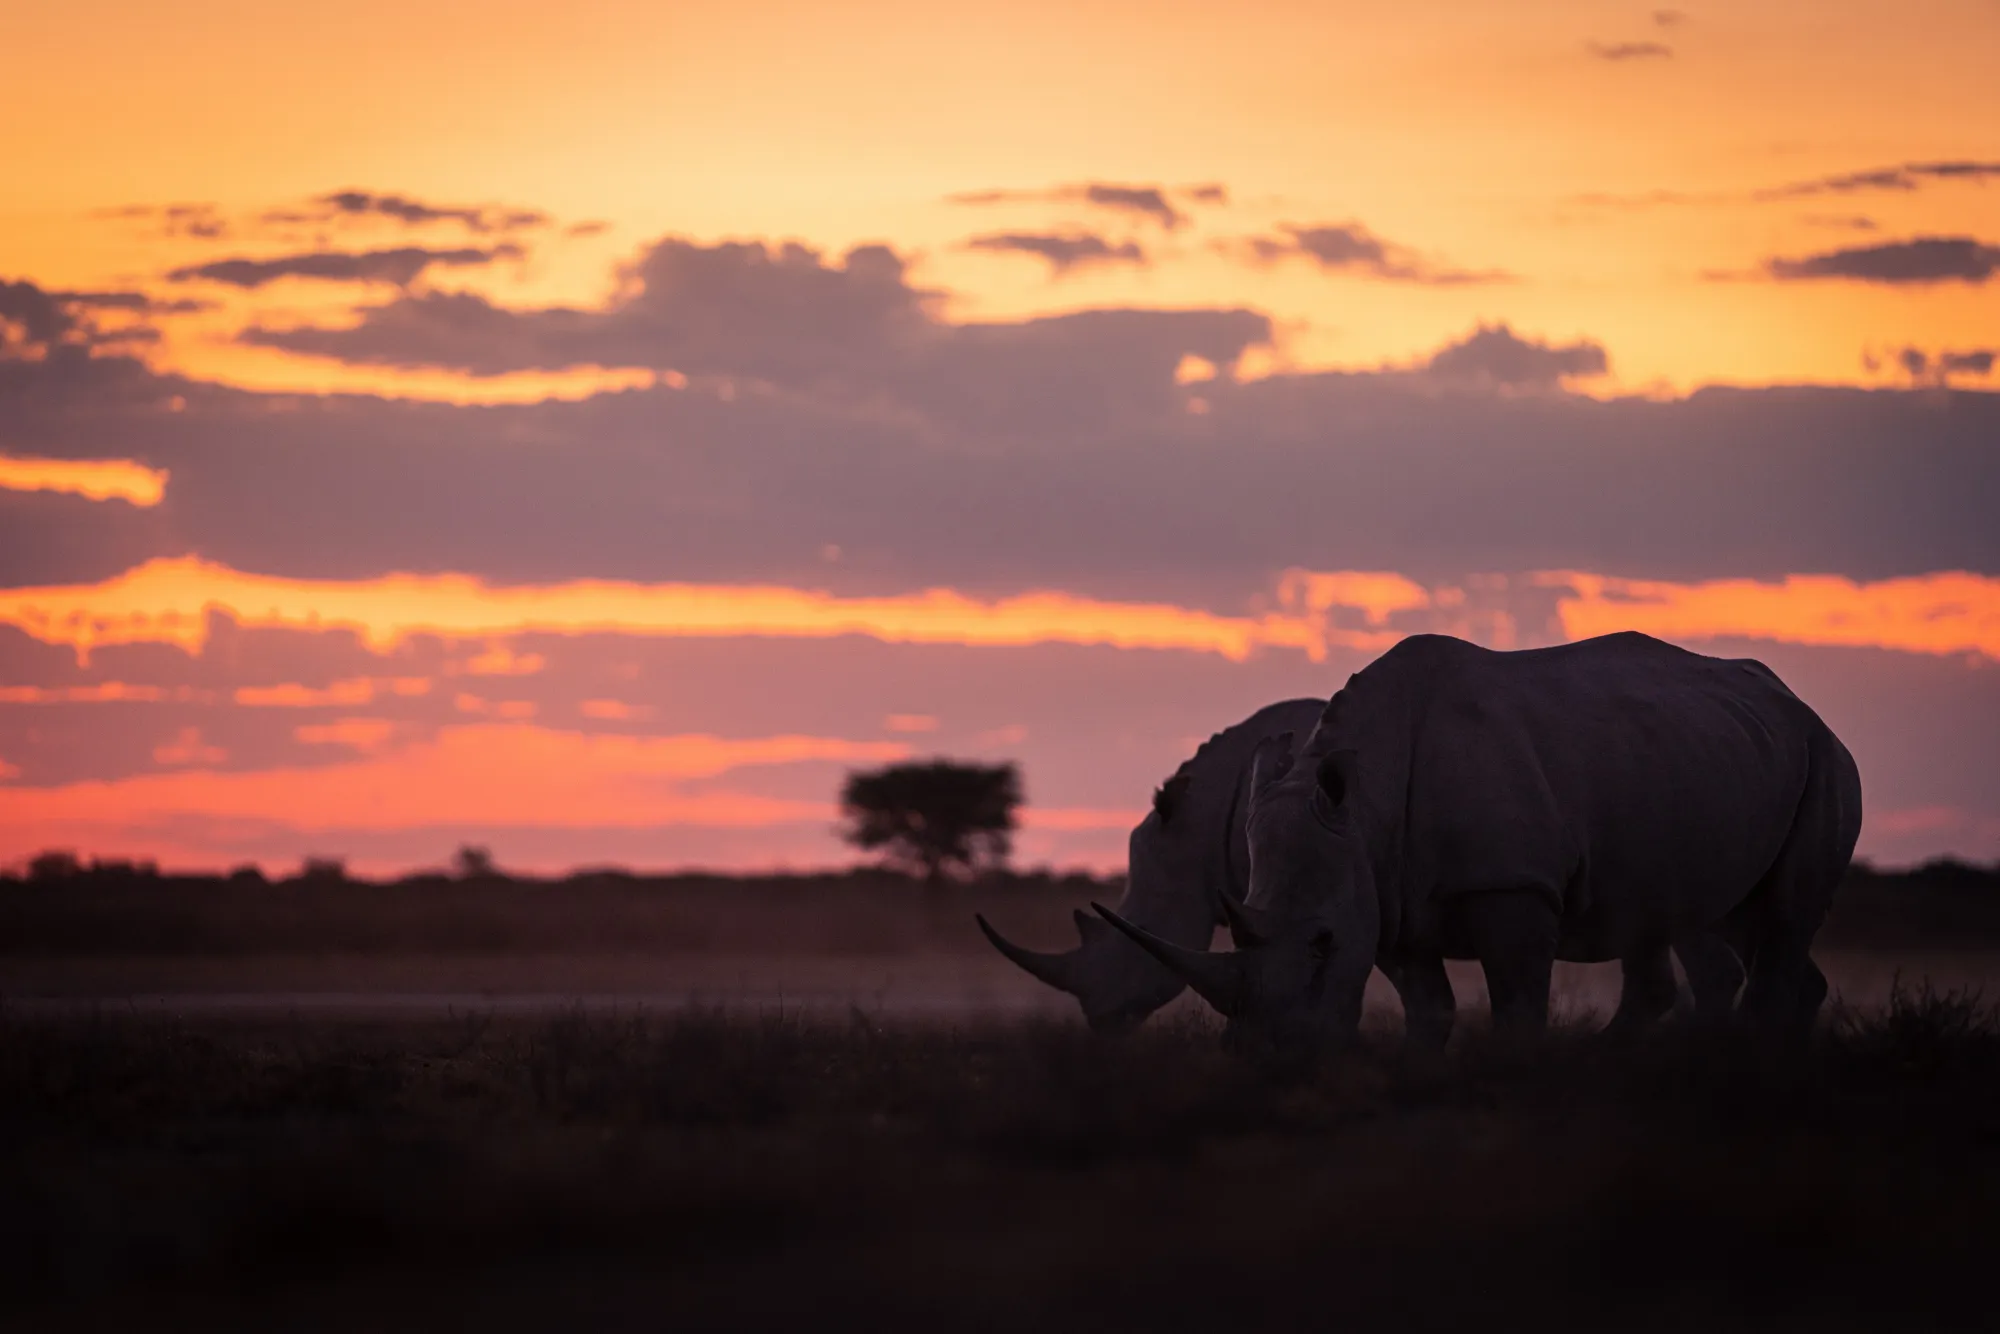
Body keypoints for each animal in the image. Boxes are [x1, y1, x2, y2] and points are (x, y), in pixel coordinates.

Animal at [1094, 632, 1862, 1052]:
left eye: (1320, 944)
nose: (1264, 1058)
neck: (1359, 799)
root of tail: (1799, 704)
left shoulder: (1509, 884)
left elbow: (1517, 1007)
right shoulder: (1383, 891)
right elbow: (1429, 1008)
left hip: (1823, 756)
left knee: (1783, 915)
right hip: (1703, 755)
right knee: (1711, 915)